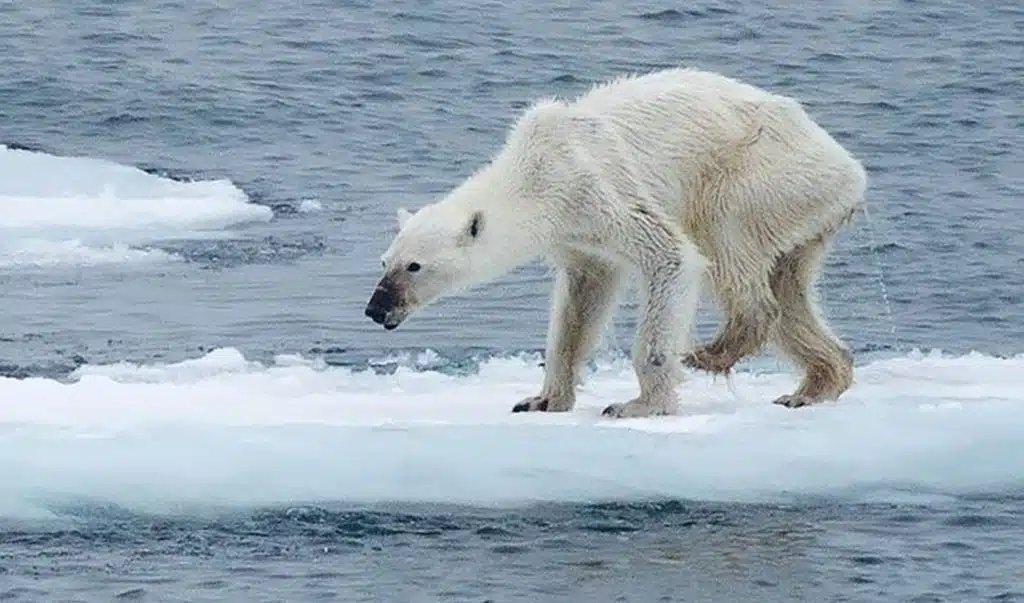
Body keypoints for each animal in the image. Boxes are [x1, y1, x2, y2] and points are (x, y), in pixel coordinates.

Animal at [364, 67, 865, 418]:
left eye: (414, 266)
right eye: (384, 261)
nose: (375, 308)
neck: (536, 172)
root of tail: (851, 169)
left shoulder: (597, 187)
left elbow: (671, 257)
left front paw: (638, 404)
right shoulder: (576, 235)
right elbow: (581, 301)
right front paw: (541, 399)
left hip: (762, 176)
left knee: (728, 242)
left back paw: (711, 351)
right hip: (802, 212)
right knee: (790, 288)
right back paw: (813, 385)